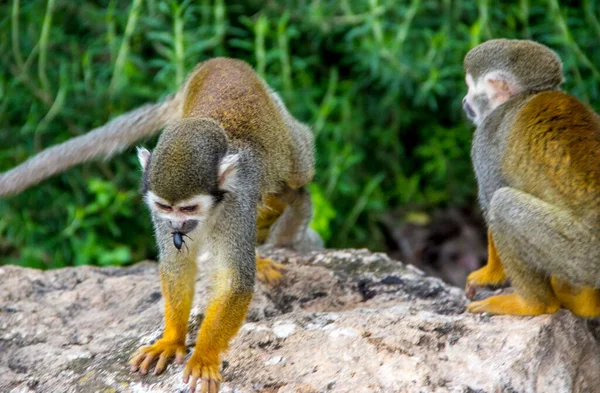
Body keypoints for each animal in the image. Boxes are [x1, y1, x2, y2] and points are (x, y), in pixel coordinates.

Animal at [0, 58, 316, 392]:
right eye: (166, 207)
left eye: (188, 208)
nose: (176, 226)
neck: (211, 210)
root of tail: (218, 62)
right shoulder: (156, 210)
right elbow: (178, 265)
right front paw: (172, 340)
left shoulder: (237, 202)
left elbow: (235, 279)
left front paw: (204, 356)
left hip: (288, 135)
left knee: (298, 175)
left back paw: (290, 207)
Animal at [464, 38, 600, 316]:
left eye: (470, 88)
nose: (464, 102)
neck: (526, 96)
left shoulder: (485, 139)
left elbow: (491, 196)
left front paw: (487, 275)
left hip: (580, 252)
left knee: (502, 204)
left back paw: (534, 304)